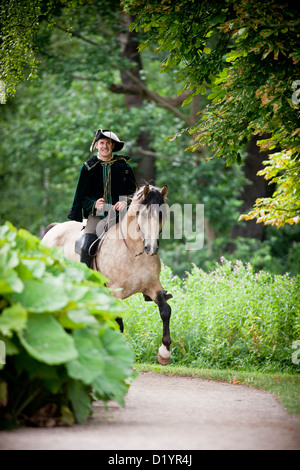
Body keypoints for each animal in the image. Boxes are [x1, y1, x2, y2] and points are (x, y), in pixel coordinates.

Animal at [42, 184, 173, 364]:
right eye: (143, 213)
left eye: (161, 214)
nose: (151, 249)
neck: (134, 253)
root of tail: (53, 229)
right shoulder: (114, 292)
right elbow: (118, 322)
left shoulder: (153, 287)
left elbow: (165, 310)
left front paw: (164, 353)